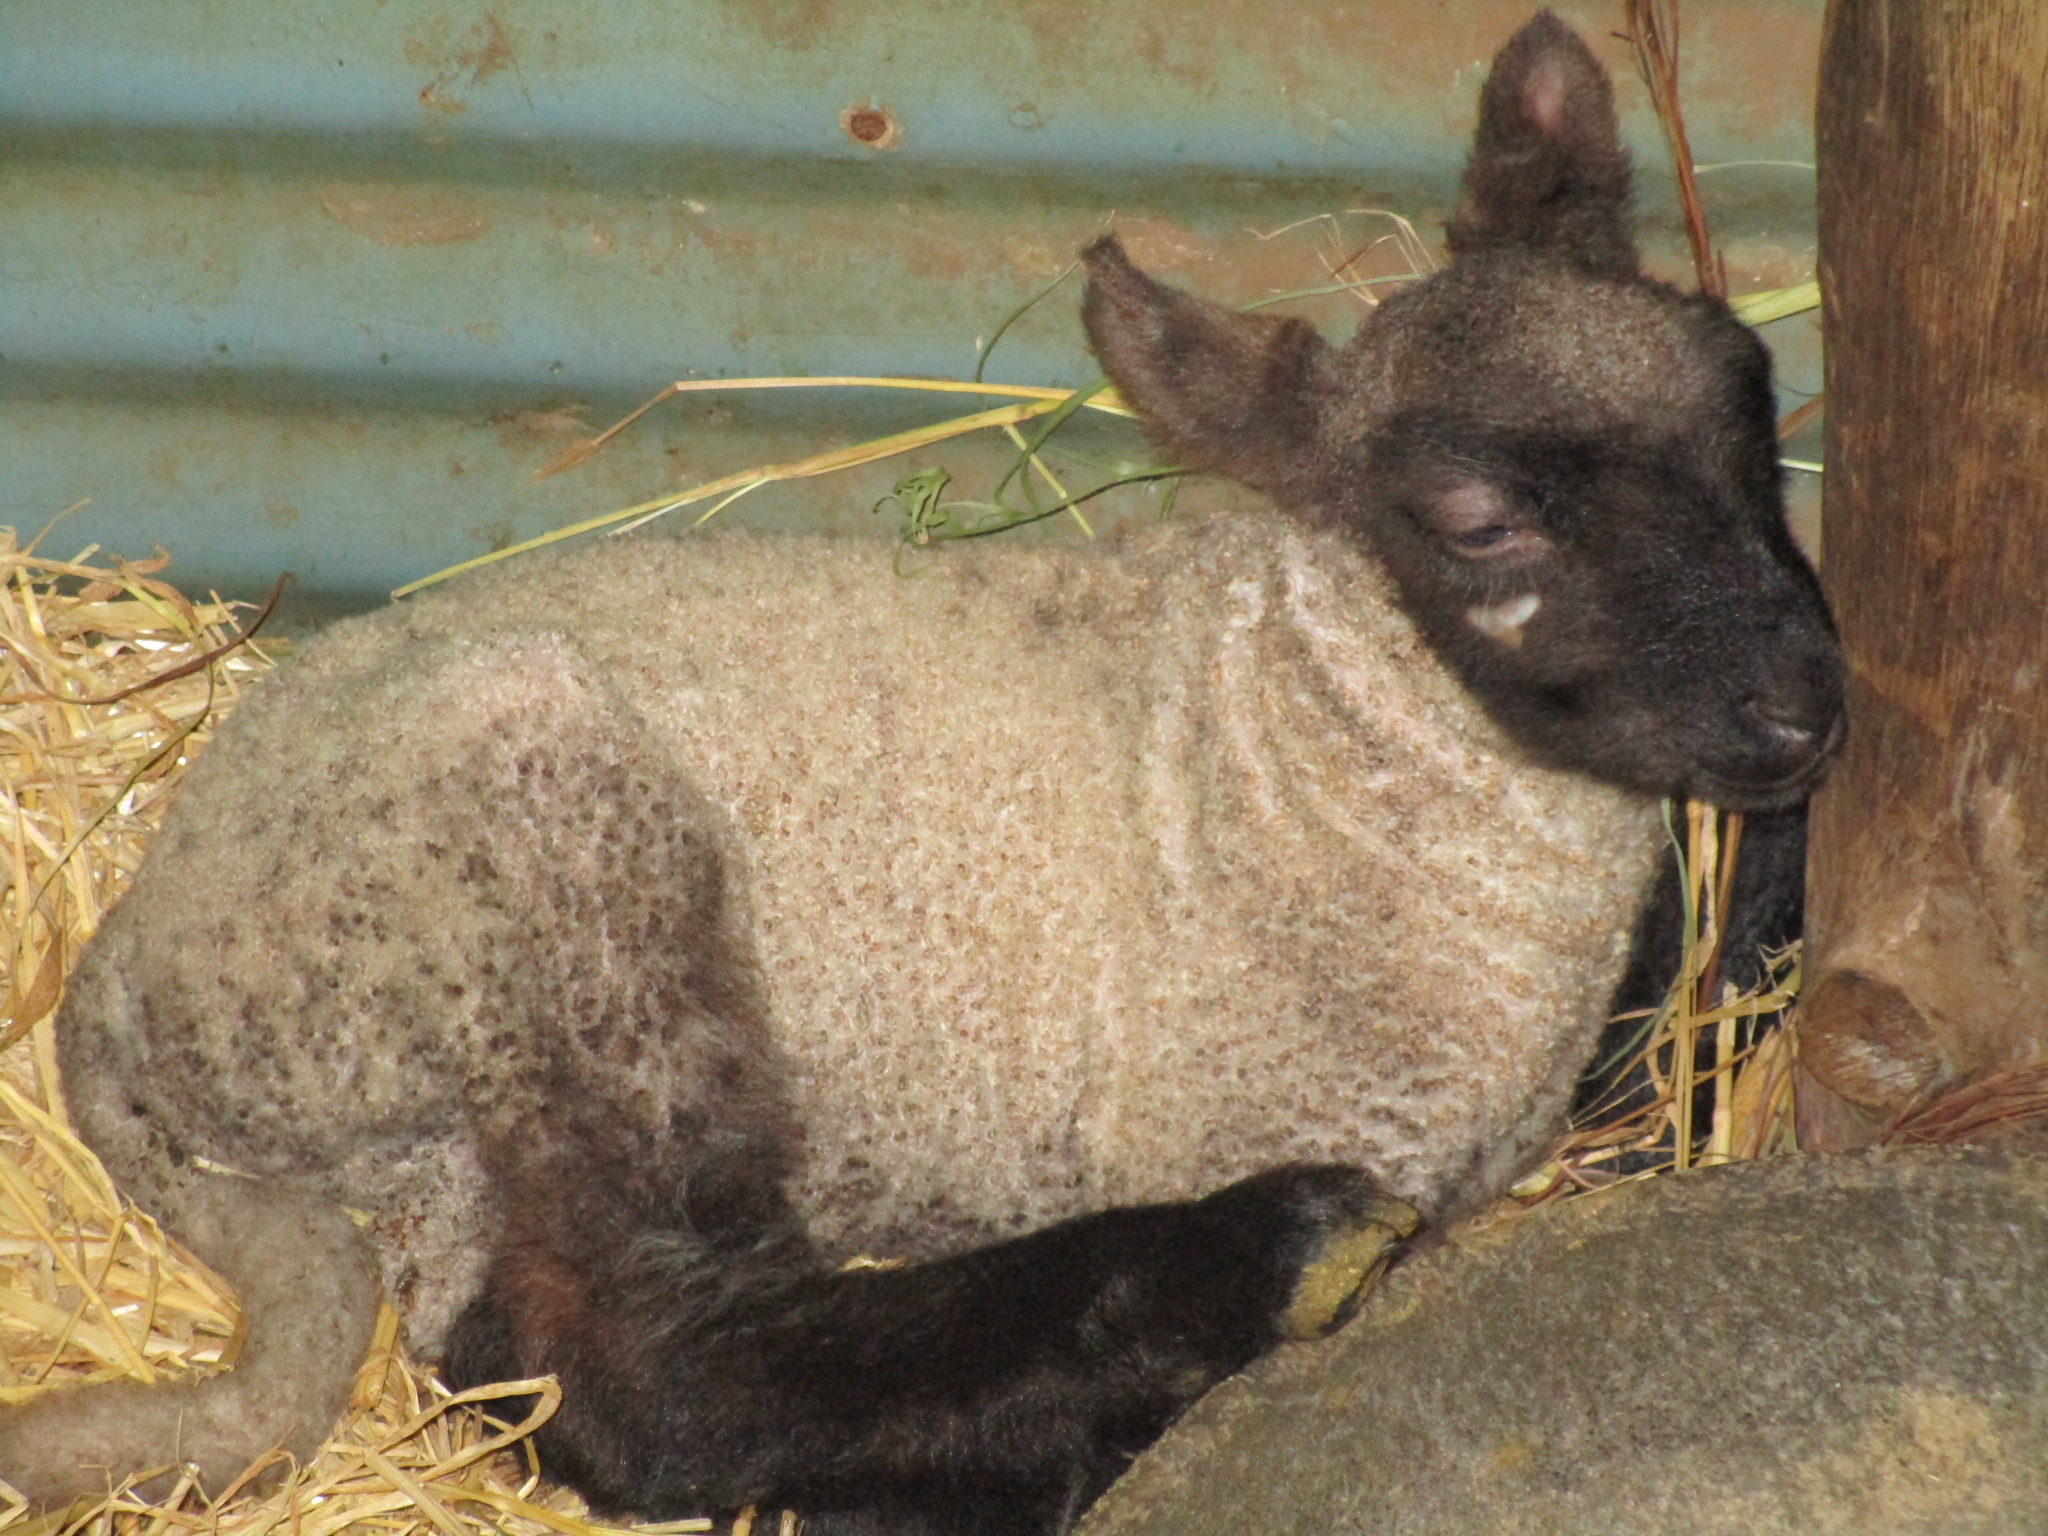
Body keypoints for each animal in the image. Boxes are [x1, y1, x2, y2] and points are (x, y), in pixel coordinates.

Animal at [0, 15, 1851, 1536]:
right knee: (633, 1352)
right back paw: (1223, 1286)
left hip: (443, 1115)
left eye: (1746, 388)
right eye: (1477, 521)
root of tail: (127, 966)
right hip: (533, 893)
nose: (1799, 707)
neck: (1314, 749)